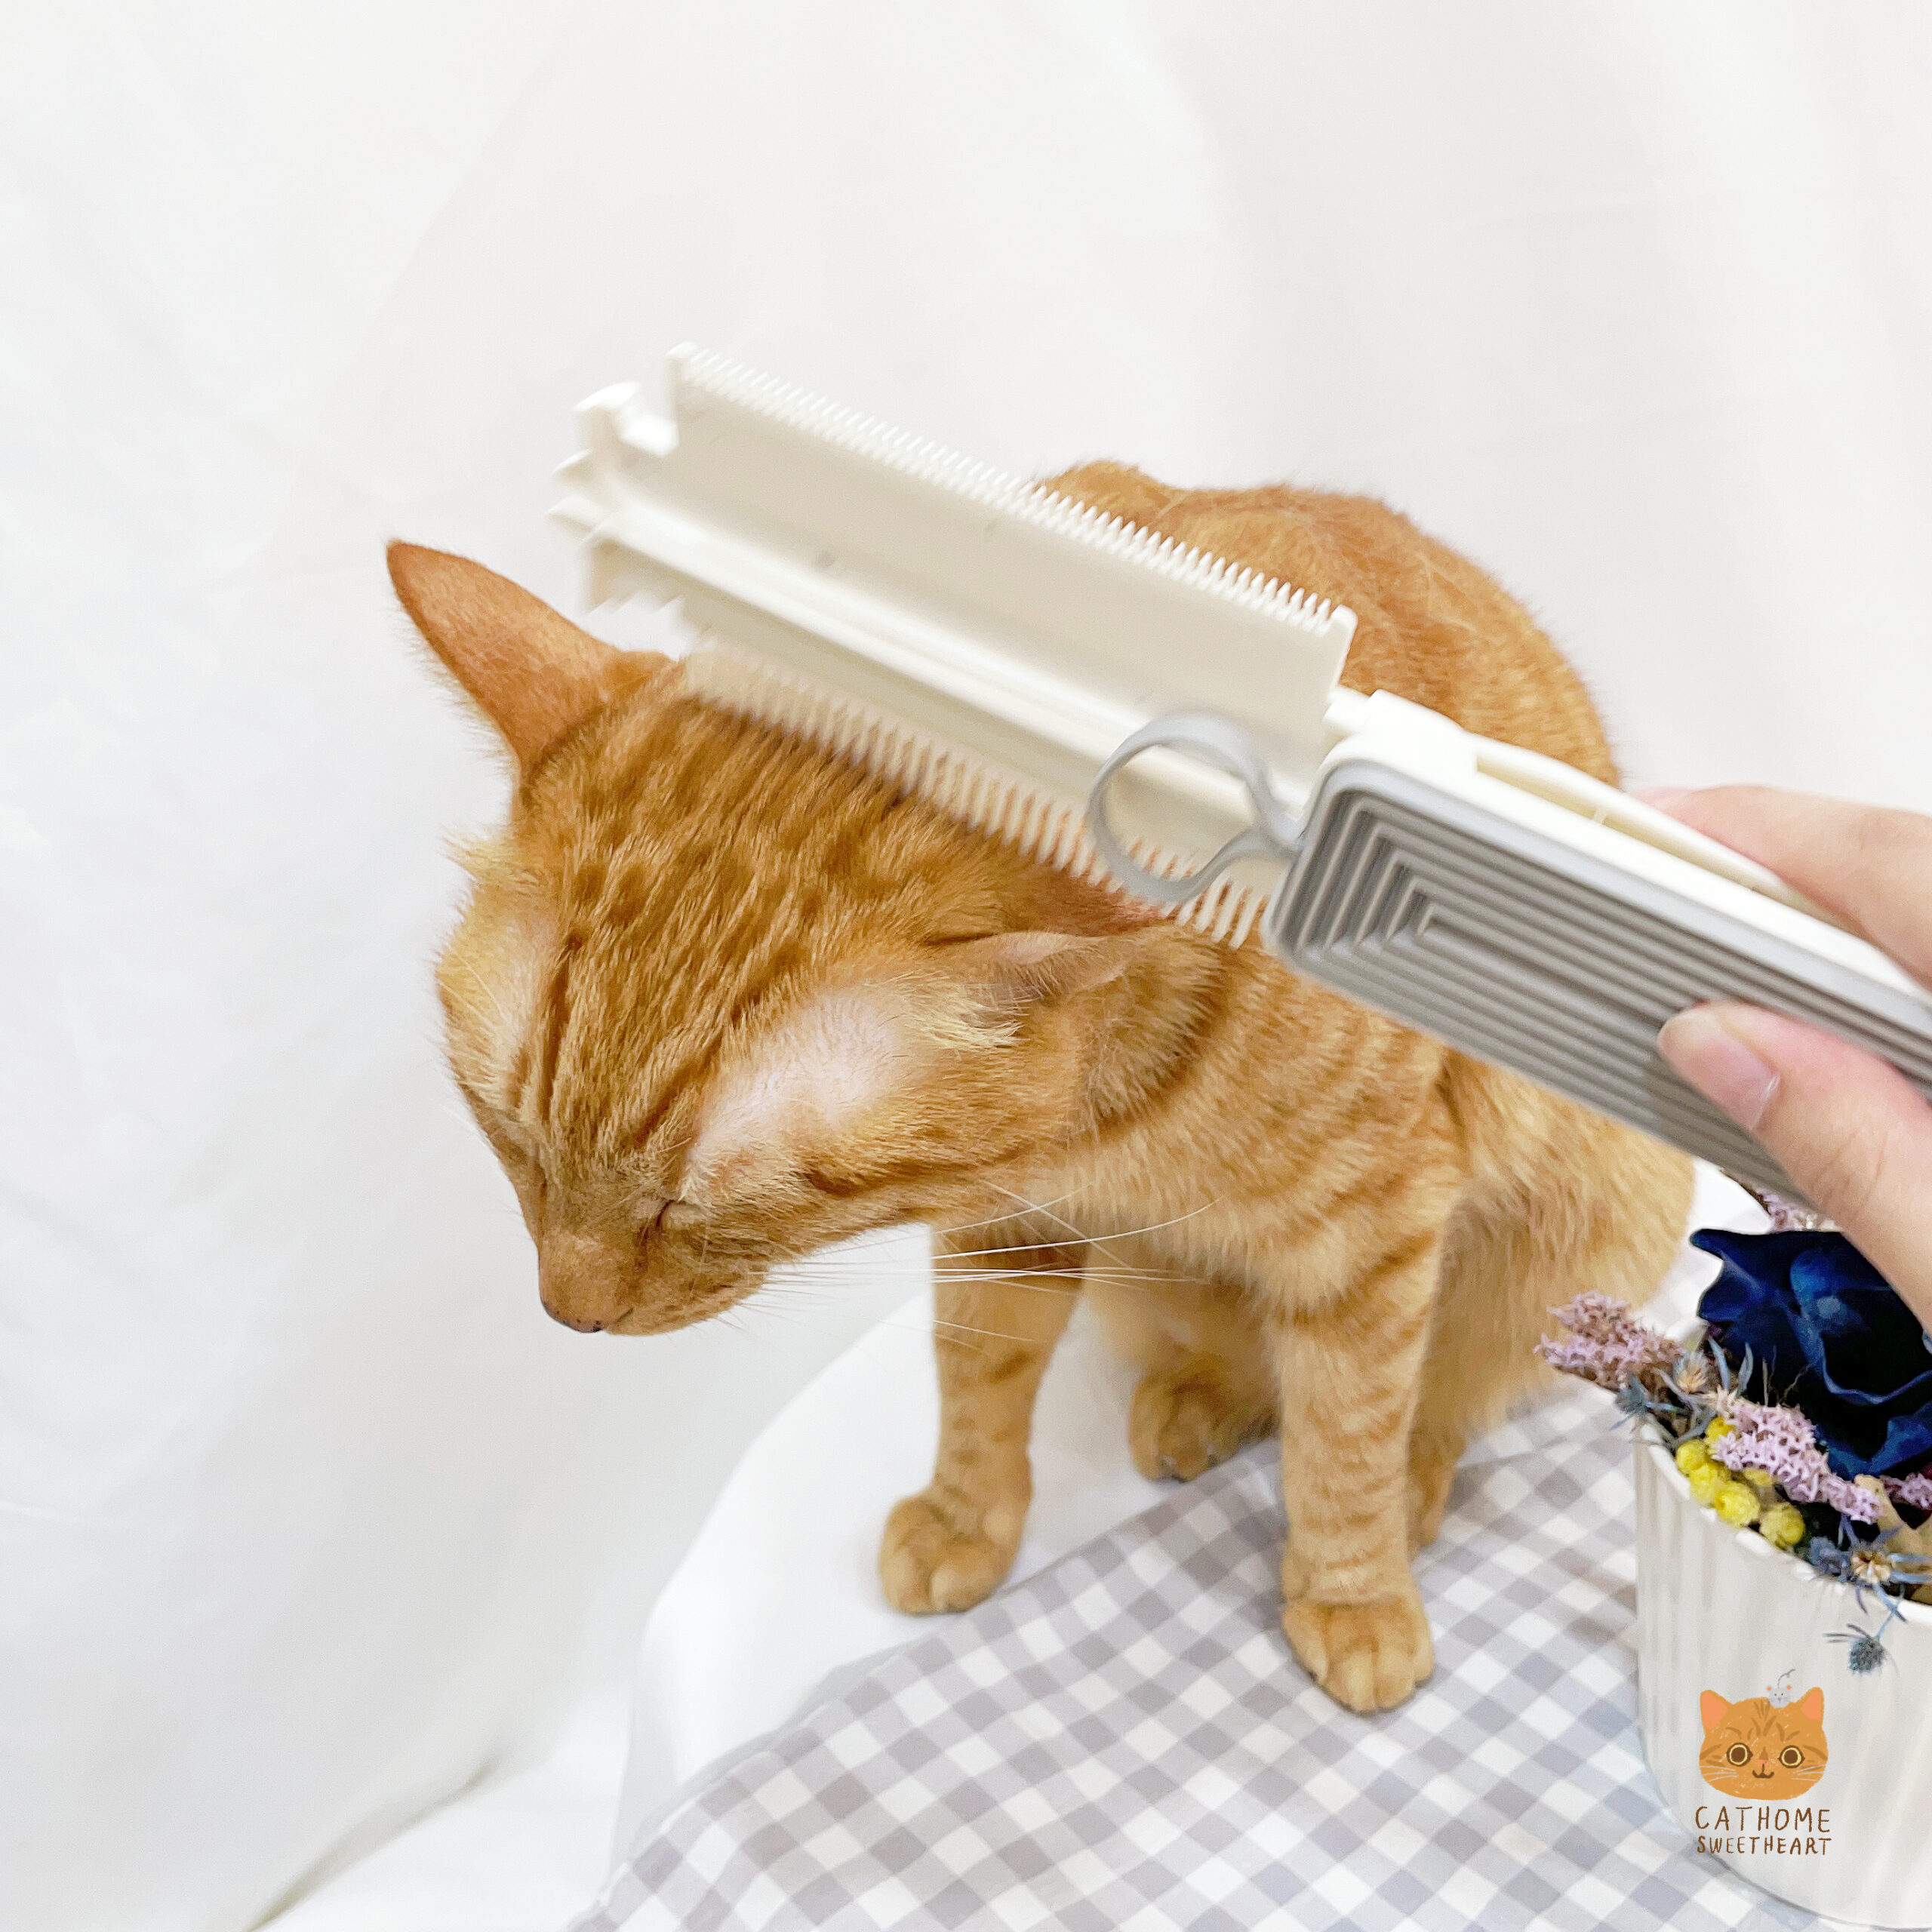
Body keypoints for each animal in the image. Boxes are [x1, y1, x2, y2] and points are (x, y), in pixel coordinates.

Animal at [390, 462, 1692, 1713]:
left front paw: (1353, 1593)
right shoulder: (1003, 1227)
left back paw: (1406, 1480)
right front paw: (966, 1520)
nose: (568, 1313)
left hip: (1578, 1235)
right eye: (510, 1138)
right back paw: (1202, 1402)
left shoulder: (1370, 1241)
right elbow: (980, 1378)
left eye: (691, 1208)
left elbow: (1350, 1426)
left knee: (1449, 1391)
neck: (1099, 1128)